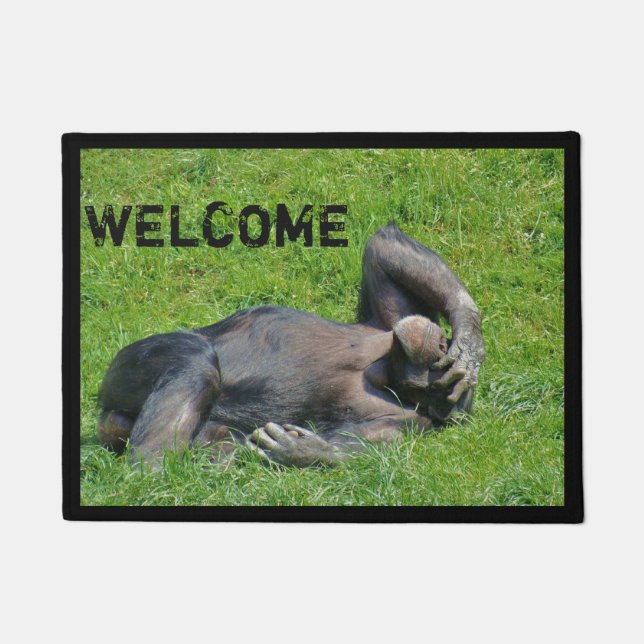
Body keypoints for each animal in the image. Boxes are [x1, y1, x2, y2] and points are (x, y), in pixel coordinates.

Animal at [96, 223, 485, 467]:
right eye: (435, 361)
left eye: (428, 384)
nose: (433, 346)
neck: (379, 372)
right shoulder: (391, 321)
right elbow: (383, 248)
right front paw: (469, 340)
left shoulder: (404, 423)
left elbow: (364, 444)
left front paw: (303, 451)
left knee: (197, 373)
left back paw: (150, 475)